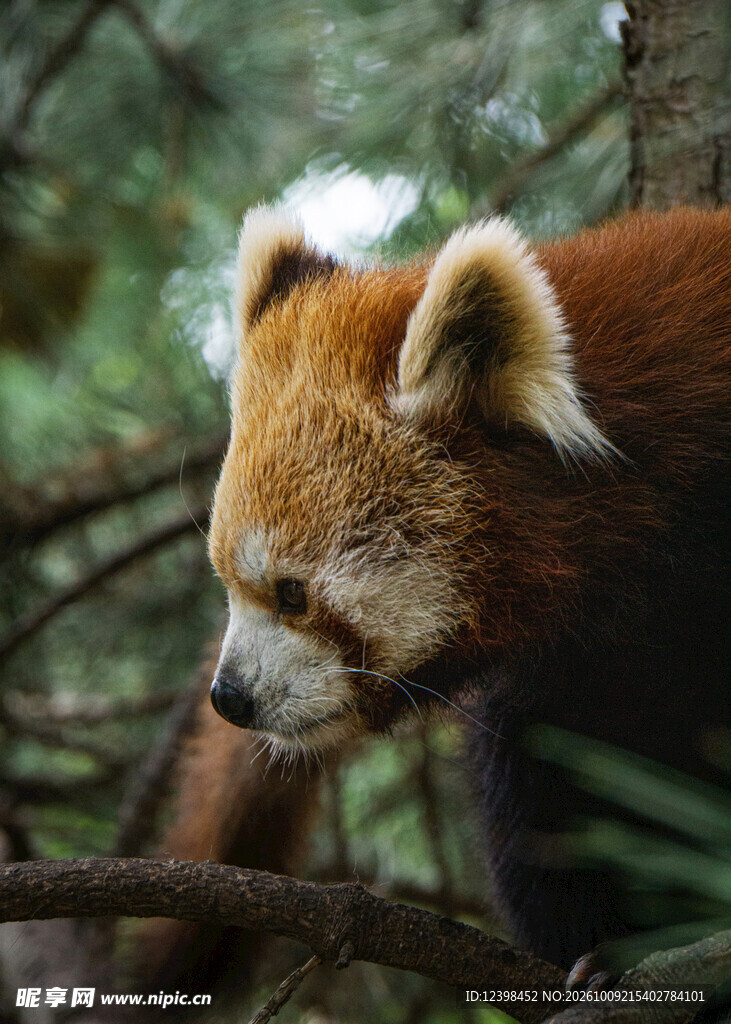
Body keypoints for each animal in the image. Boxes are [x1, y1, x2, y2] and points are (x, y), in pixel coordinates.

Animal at [204, 204, 730, 977]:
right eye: (227, 581)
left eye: (291, 593)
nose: (230, 697)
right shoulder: (567, 673)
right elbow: (544, 803)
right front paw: (599, 946)